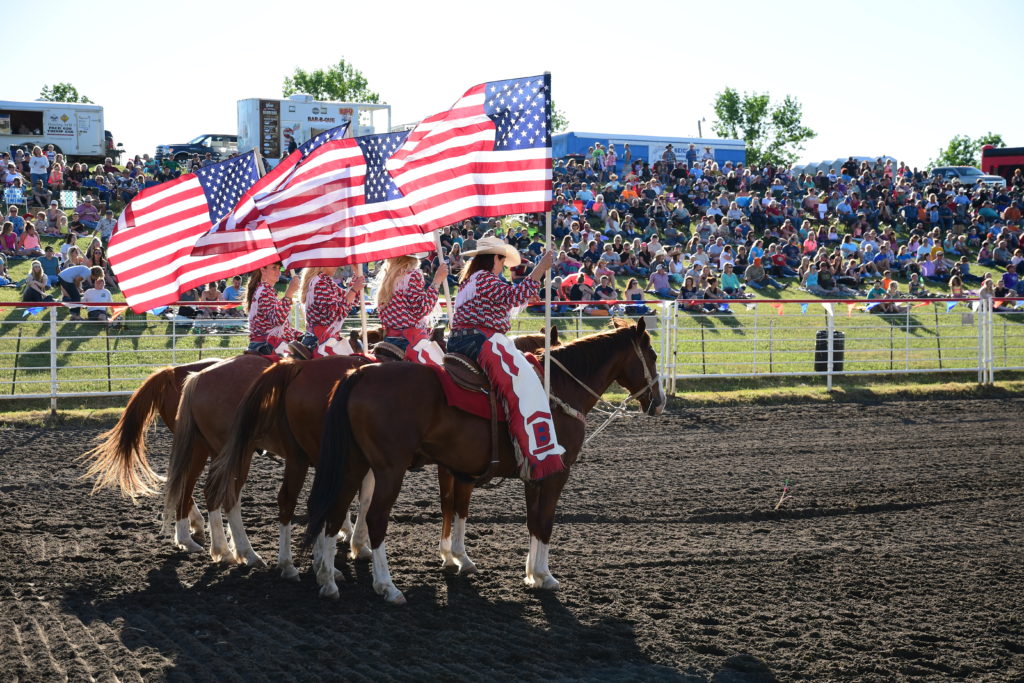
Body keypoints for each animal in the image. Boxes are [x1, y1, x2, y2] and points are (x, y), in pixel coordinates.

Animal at [301, 319, 663, 602]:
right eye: (653, 355)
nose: (658, 402)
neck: (556, 389)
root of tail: (360, 374)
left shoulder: (507, 472)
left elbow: (514, 518)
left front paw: (521, 572)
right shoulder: (554, 473)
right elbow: (544, 522)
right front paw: (544, 576)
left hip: (353, 464)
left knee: (333, 507)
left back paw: (328, 579)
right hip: (389, 469)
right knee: (375, 517)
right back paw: (386, 585)